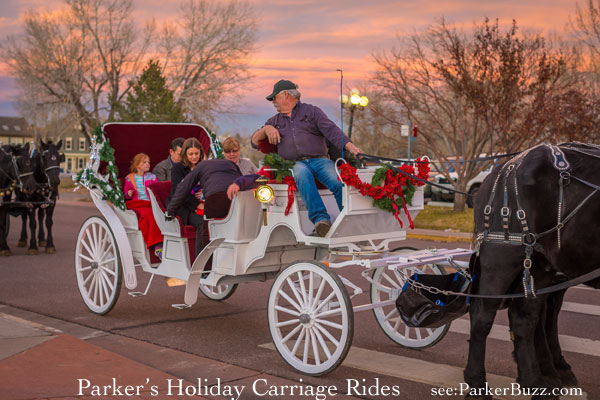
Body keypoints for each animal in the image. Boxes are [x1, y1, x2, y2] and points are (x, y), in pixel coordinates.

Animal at [464, 142, 600, 398]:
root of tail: (507, 165)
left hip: (538, 264)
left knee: (526, 318)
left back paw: (535, 379)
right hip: (502, 257)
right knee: (482, 315)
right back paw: (477, 382)